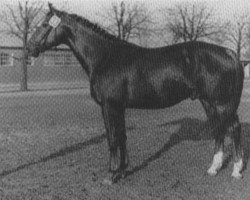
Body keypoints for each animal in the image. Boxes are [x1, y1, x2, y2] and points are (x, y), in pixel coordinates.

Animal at [26, 3, 244, 184]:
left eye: (44, 24)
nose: (30, 48)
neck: (106, 57)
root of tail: (230, 53)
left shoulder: (110, 106)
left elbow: (113, 138)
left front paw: (111, 175)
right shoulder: (119, 107)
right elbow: (122, 136)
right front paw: (123, 171)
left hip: (221, 103)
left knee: (233, 128)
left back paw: (236, 171)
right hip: (208, 102)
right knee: (219, 128)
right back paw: (213, 168)